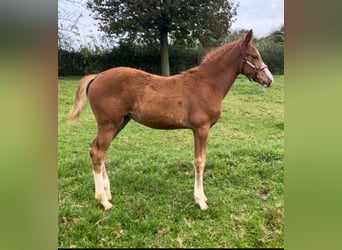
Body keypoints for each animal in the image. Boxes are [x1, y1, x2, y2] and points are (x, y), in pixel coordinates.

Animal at [68, 29, 274, 210]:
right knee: (98, 153)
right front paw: (200, 200)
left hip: (119, 123)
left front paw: (202, 197)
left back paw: (107, 192)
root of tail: (97, 76)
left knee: (96, 148)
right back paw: (103, 201)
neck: (206, 84)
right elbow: (199, 161)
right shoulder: (201, 128)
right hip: (109, 124)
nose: (269, 80)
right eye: (254, 56)